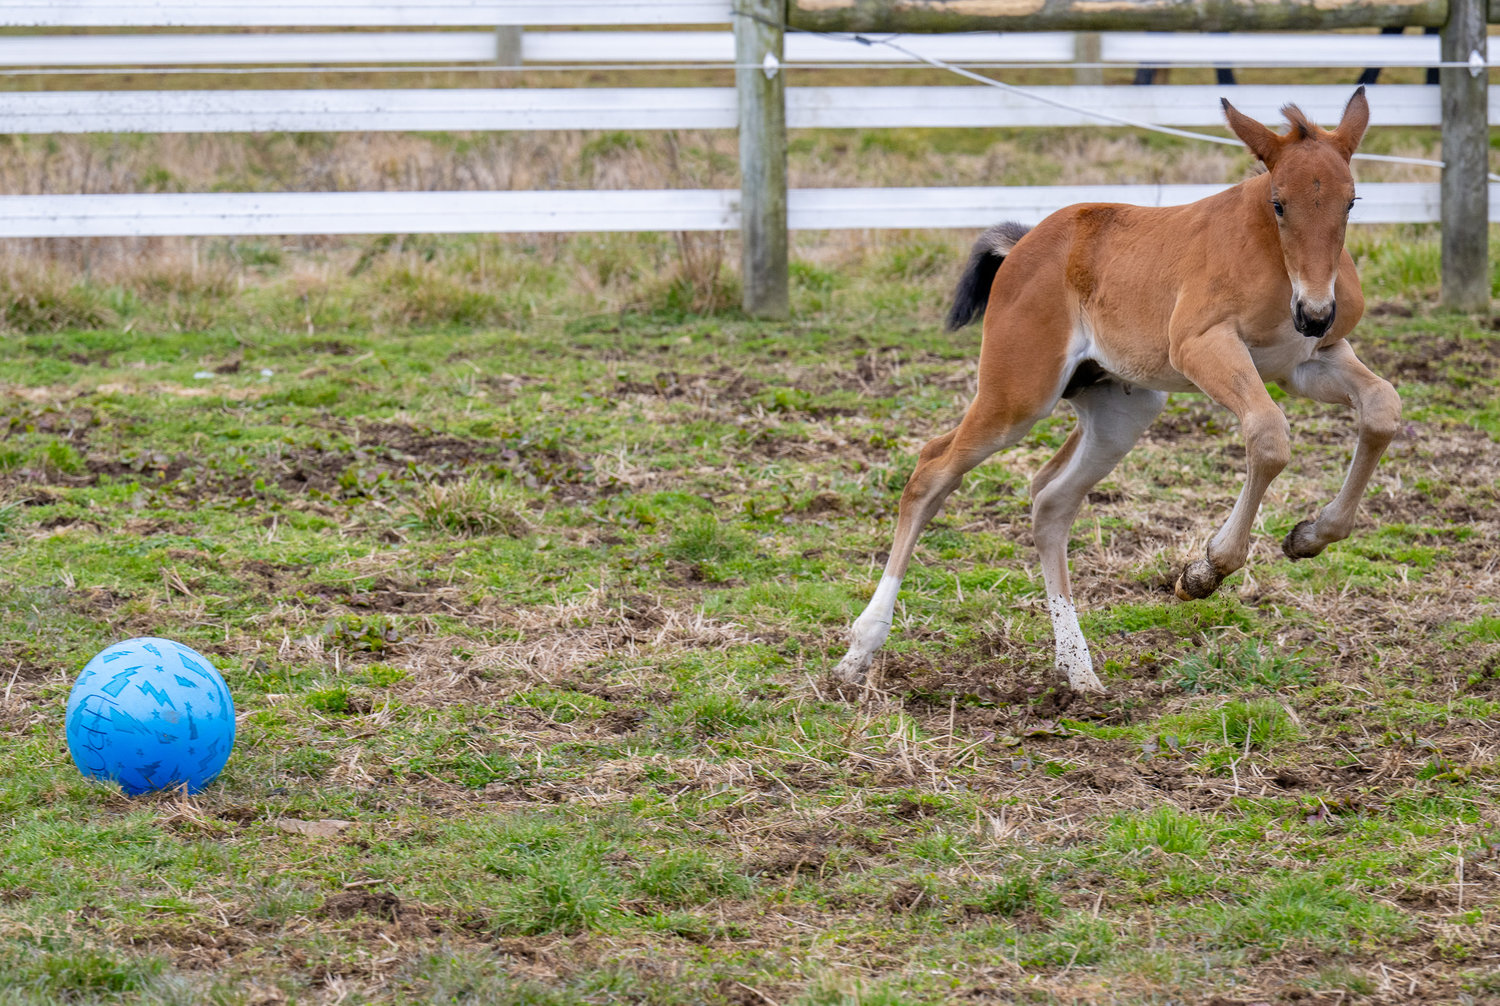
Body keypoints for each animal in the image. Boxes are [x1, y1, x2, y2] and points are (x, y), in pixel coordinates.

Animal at [840, 88, 1398, 692]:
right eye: (1279, 203)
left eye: (1350, 201)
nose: (1315, 312)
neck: (1274, 262)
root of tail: (1023, 246)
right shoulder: (1202, 347)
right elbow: (1269, 436)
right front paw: (1204, 571)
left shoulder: (1308, 363)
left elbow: (1382, 409)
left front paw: (1309, 536)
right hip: (1018, 395)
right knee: (932, 469)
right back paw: (862, 646)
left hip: (1120, 412)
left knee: (1051, 501)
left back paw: (1078, 669)